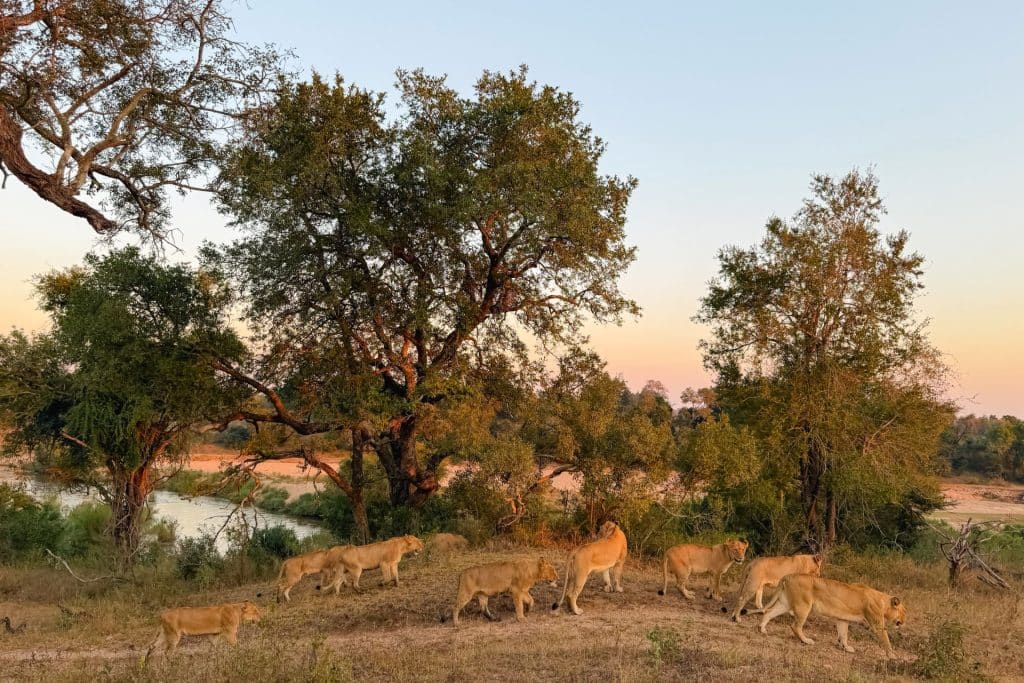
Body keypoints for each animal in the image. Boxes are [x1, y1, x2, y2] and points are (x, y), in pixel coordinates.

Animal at [758, 574, 907, 659]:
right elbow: (886, 640)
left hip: (785, 603)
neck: (883, 602)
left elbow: (844, 634)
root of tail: (788, 576)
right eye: (903, 612)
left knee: (769, 612)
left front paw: (846, 648)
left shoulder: (843, 619)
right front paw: (892, 655)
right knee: (795, 626)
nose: (904, 622)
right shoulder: (877, 626)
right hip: (803, 605)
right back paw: (806, 641)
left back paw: (762, 629)